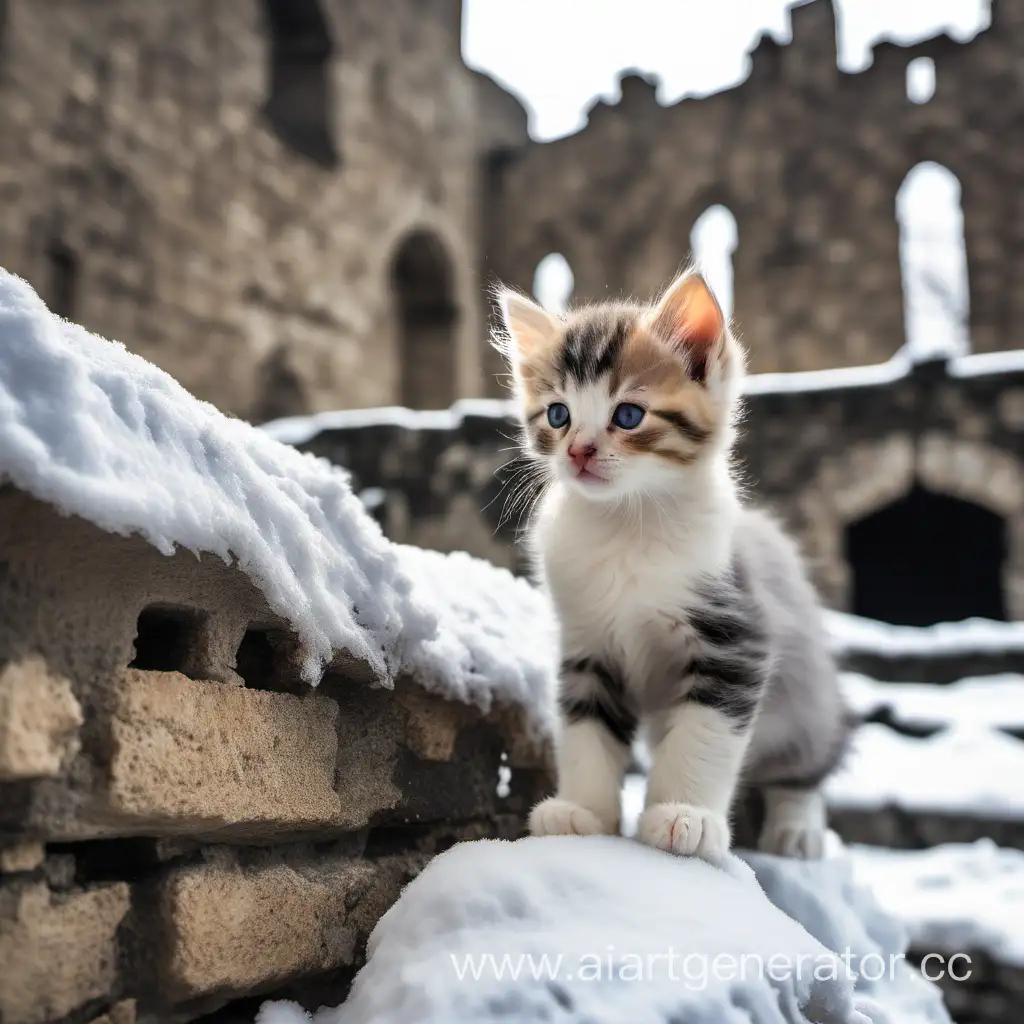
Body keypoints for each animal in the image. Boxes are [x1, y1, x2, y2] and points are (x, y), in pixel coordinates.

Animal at [493, 270, 847, 856]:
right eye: (558, 415)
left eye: (628, 416)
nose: (579, 451)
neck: (624, 524)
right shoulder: (588, 645)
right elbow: (587, 730)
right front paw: (583, 812)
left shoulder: (736, 637)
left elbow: (704, 734)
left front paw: (685, 815)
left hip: (803, 700)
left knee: (804, 766)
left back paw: (796, 828)